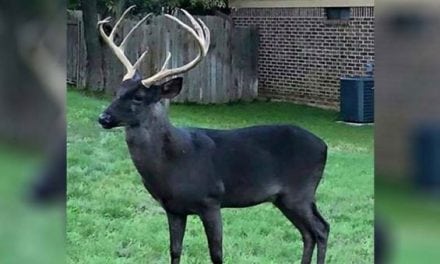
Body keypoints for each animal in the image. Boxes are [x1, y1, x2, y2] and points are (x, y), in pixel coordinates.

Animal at [98, 6, 328, 264]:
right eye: (118, 91)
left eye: (138, 97)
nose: (103, 118)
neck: (172, 162)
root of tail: (324, 146)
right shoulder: (173, 208)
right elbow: (174, 250)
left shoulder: (211, 200)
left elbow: (216, 254)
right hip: (285, 198)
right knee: (309, 232)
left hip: (300, 191)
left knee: (321, 229)